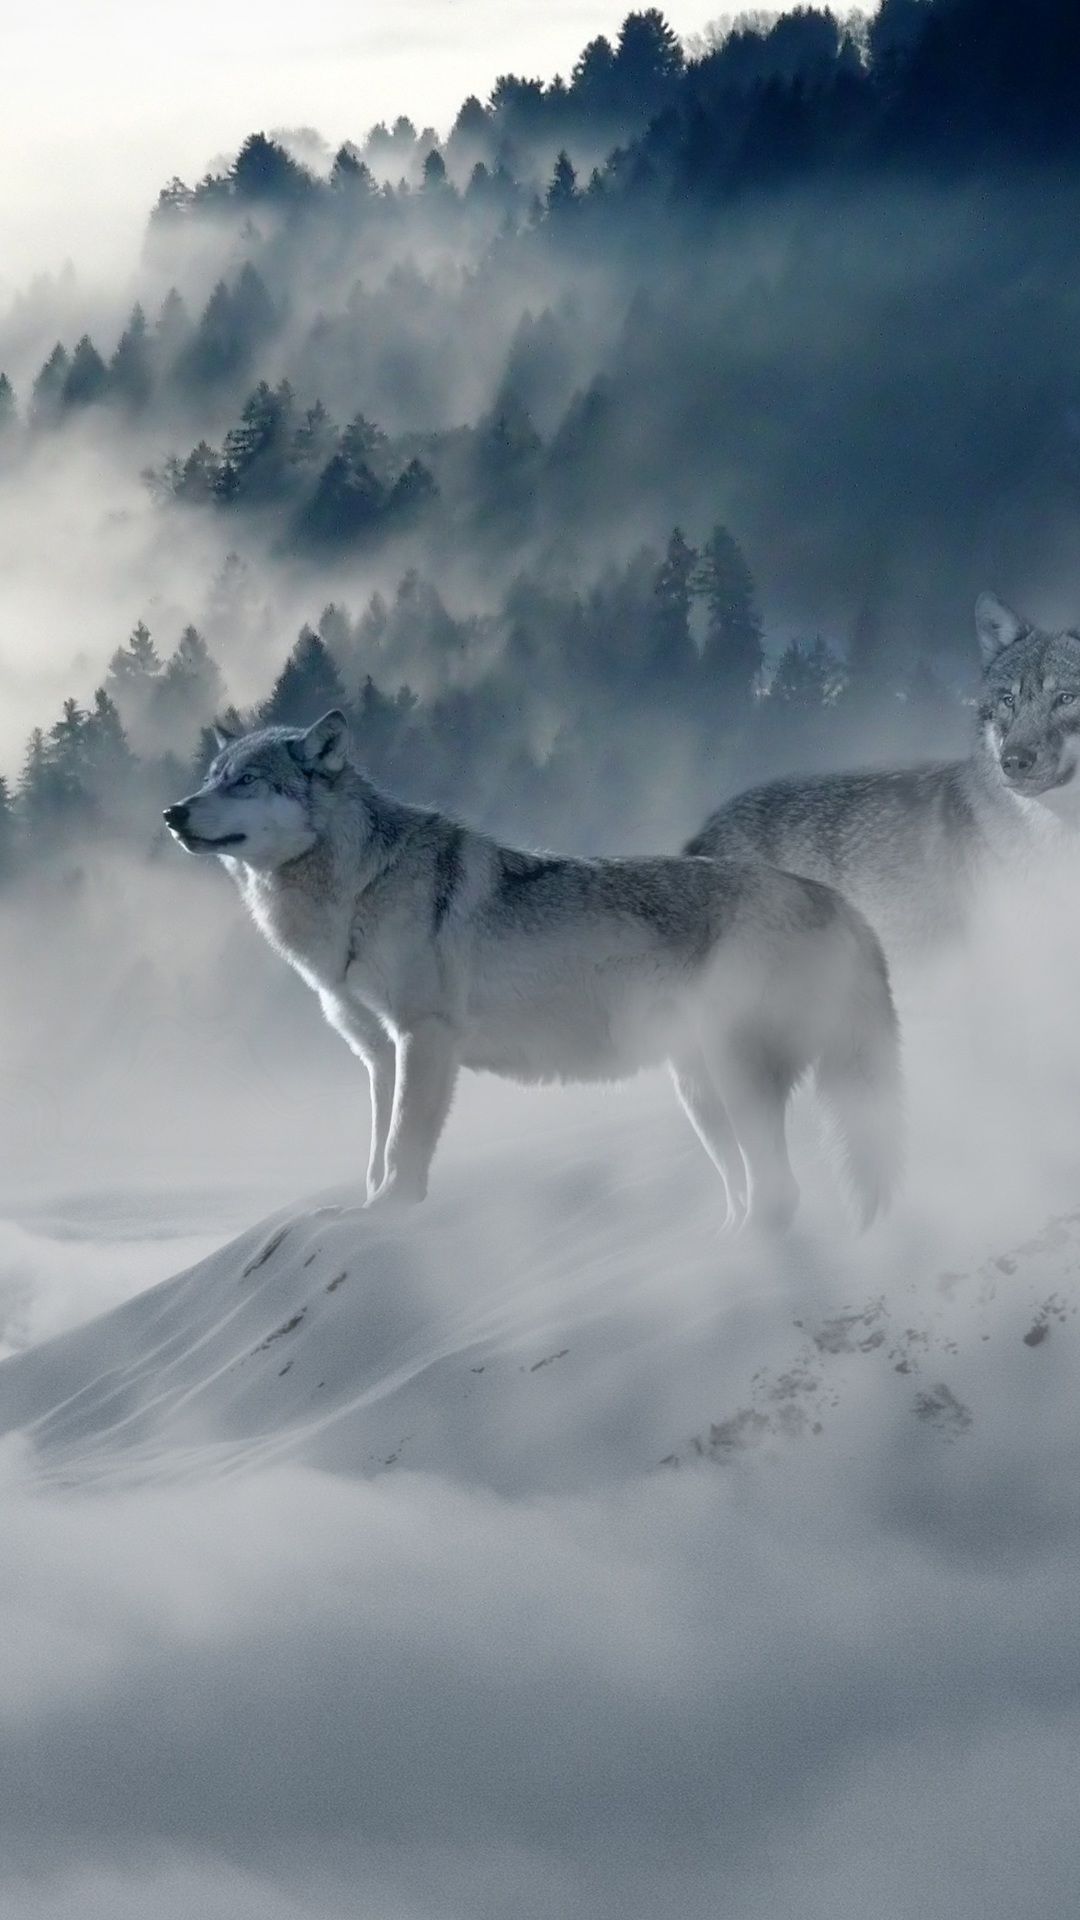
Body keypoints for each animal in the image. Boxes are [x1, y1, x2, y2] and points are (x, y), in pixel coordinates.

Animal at [164, 711, 902, 1231]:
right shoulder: (379, 1055)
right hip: (700, 1093)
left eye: (245, 780)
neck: (358, 887)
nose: (172, 812)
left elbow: (402, 1150)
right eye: (211, 776)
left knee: (781, 1193)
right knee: (752, 1192)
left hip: (733, 1077)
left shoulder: (424, 1039)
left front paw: (389, 1215)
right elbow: (374, 1154)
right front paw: (361, 1211)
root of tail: (841, 903)